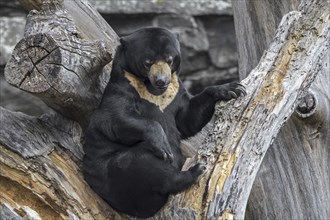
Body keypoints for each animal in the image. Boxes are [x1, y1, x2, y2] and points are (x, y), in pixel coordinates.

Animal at [84, 26, 246, 217]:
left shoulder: (175, 93)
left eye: (170, 59)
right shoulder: (123, 87)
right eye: (148, 62)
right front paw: (162, 144)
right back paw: (194, 171)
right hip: (113, 177)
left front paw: (232, 89)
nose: (161, 81)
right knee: (141, 164)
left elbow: (187, 120)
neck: (153, 91)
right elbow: (114, 119)